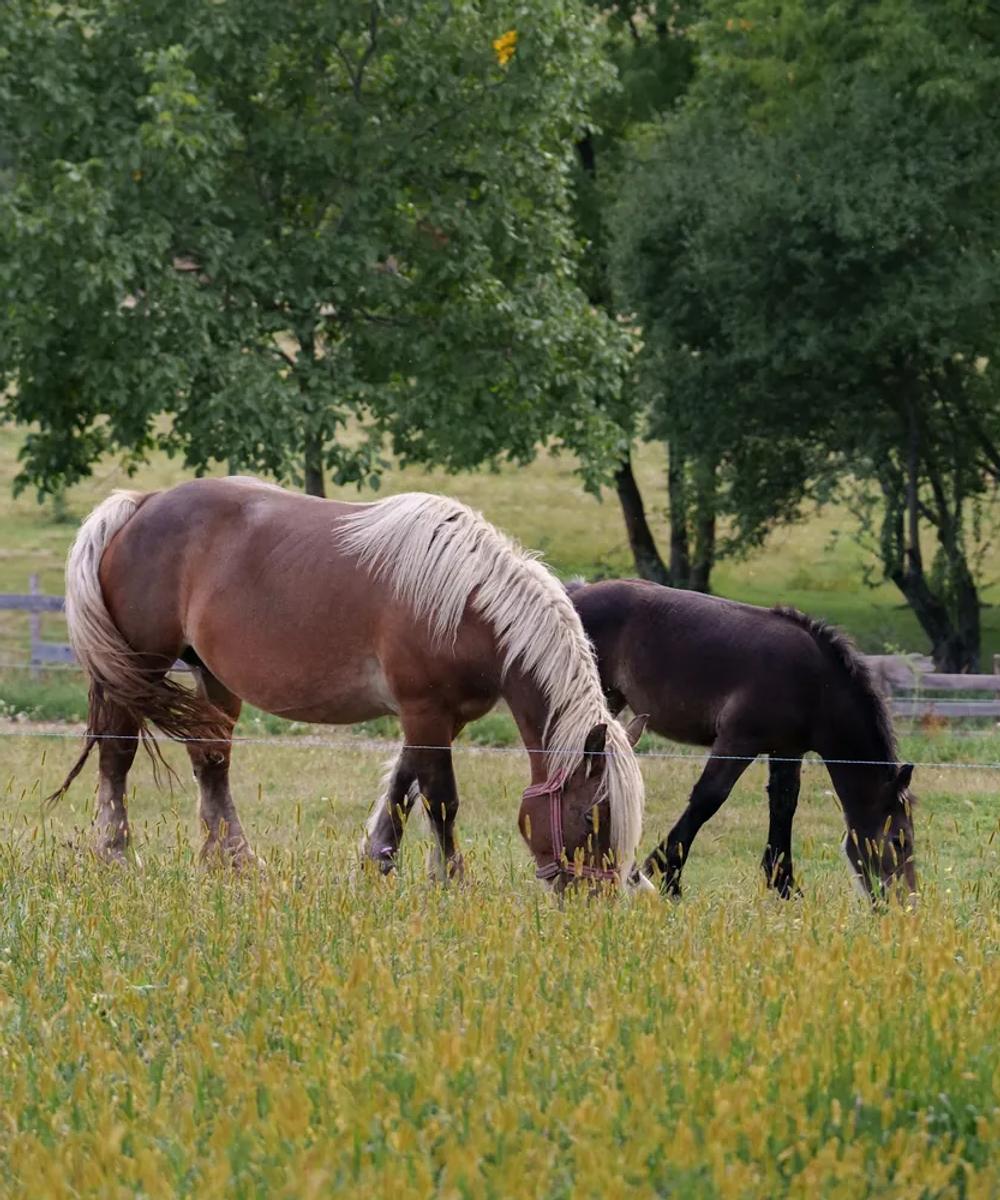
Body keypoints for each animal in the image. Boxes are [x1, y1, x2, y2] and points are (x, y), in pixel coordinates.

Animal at [48, 478, 648, 891]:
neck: (465, 602)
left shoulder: (439, 717)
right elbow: (440, 799)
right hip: (140, 669)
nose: (593, 899)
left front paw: (377, 863)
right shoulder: (425, 711)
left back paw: (232, 861)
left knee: (211, 760)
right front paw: (449, 881)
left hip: (212, 678)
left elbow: (402, 788)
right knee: (117, 757)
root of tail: (142, 502)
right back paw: (117, 855)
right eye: (593, 816)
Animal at [567, 579, 917, 901]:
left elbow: (784, 804)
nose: (906, 902)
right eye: (899, 841)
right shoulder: (738, 741)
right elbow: (709, 798)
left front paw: (784, 884)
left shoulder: (787, 749)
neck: (815, 685)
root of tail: (575, 591)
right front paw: (665, 873)